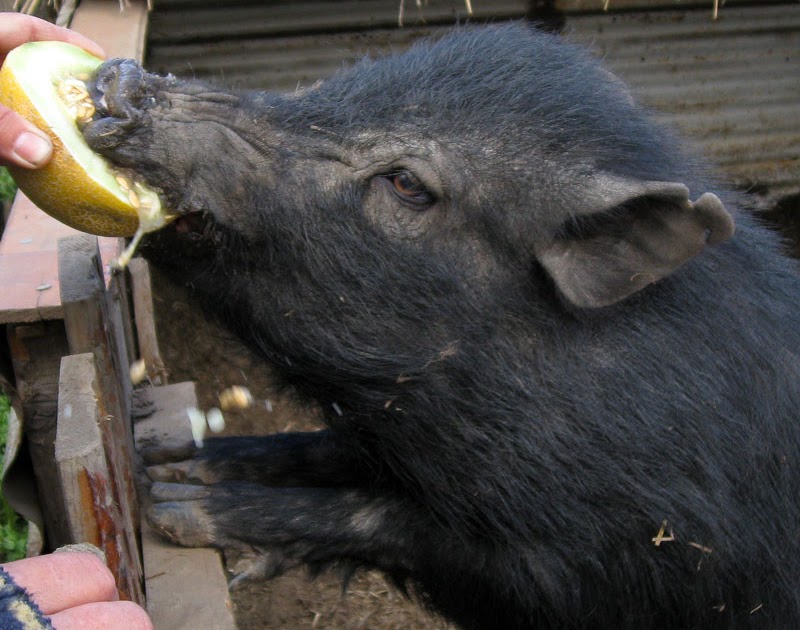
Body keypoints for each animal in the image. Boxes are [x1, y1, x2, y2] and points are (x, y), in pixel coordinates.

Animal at [83, 23, 800, 630]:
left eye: (406, 183)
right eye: (327, 85)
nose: (122, 80)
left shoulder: (594, 566)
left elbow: (380, 518)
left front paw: (169, 506)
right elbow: (313, 449)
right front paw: (172, 462)